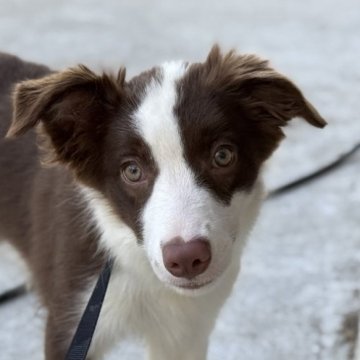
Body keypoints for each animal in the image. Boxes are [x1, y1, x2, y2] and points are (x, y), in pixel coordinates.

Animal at [0, 45, 326, 360]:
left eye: (223, 156)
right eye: (132, 171)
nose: (186, 259)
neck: (137, 263)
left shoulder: (186, 333)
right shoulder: (68, 322)